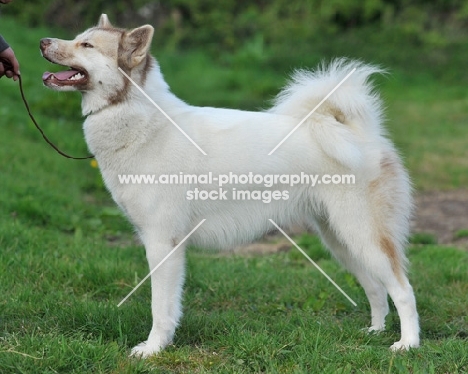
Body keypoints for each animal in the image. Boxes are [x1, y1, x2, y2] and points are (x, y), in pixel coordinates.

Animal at [40, 14, 420, 358]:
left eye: (87, 46)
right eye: (77, 38)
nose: (43, 42)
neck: (141, 121)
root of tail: (358, 133)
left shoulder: (163, 245)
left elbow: (160, 308)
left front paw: (153, 349)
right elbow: (169, 306)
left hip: (361, 235)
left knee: (402, 289)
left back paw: (407, 344)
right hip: (340, 240)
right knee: (376, 288)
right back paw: (375, 330)